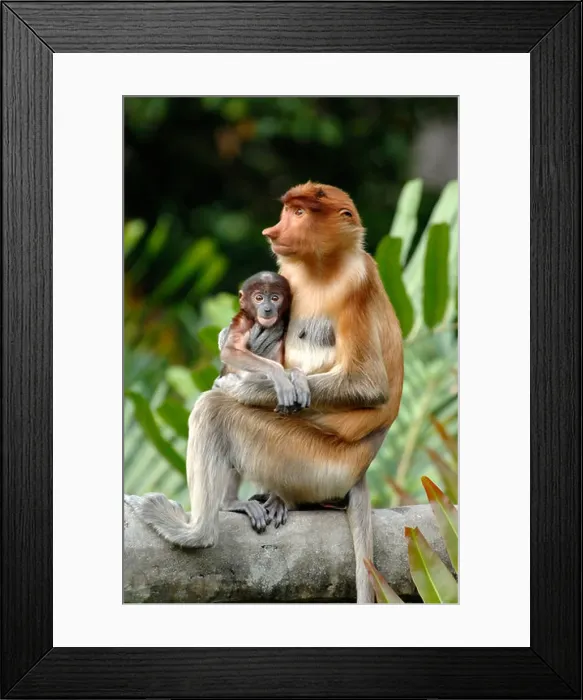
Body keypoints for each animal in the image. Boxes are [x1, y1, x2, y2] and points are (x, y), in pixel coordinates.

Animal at [135, 182, 404, 603]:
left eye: (300, 213)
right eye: (289, 211)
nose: (272, 231)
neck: (322, 268)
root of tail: (358, 472)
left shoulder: (357, 282)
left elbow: (370, 385)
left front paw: (247, 384)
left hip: (311, 462)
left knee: (213, 411)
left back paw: (200, 530)